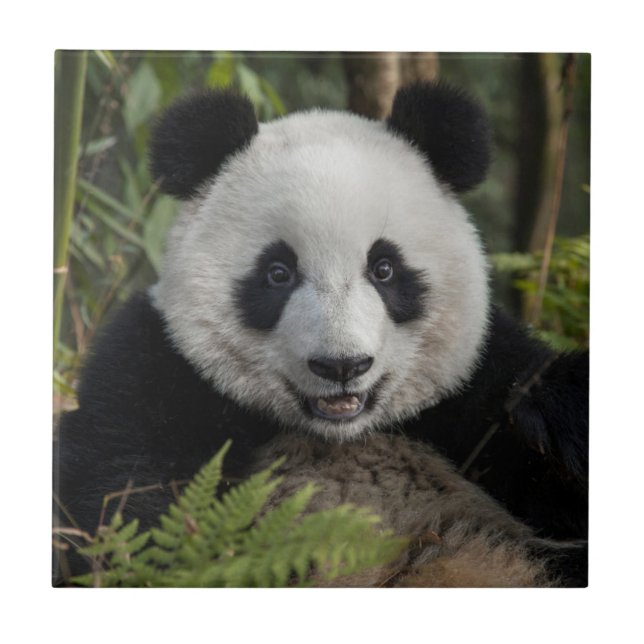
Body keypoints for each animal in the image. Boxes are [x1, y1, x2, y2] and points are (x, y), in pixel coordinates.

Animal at [54, 82, 588, 586]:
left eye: (384, 268)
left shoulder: (473, 385)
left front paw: (549, 419)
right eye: (278, 273)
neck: (340, 435)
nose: (342, 365)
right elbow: (122, 498)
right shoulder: (158, 371)